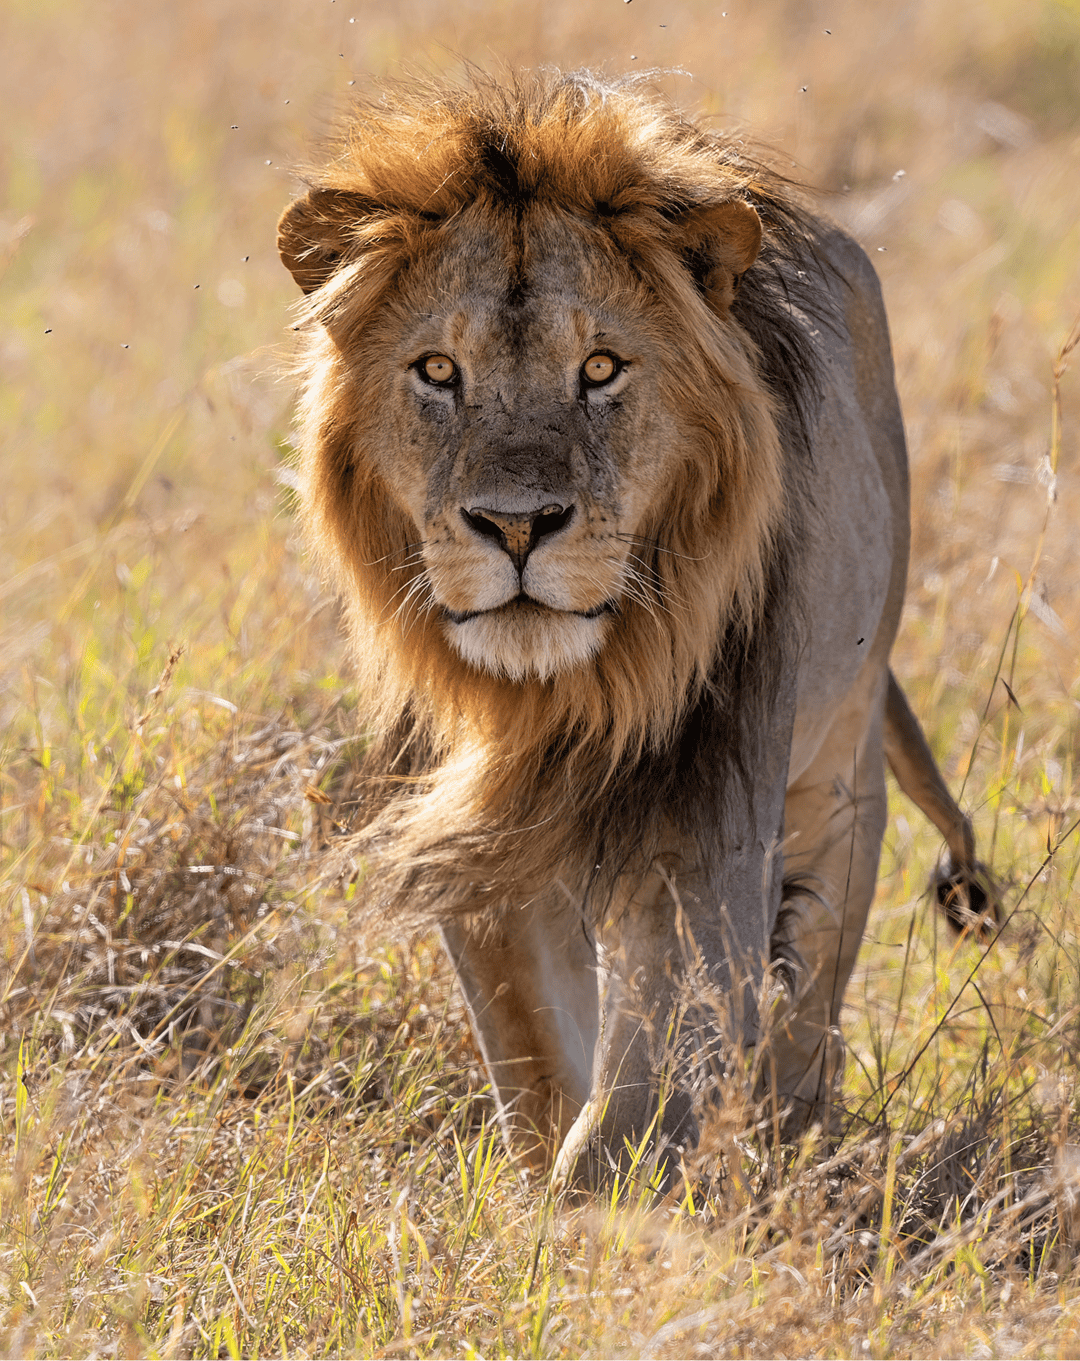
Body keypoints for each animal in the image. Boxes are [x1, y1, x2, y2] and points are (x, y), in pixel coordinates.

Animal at [277, 69, 995, 1181]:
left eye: (602, 369)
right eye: (438, 372)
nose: (515, 523)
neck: (560, 697)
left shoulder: (704, 828)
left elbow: (636, 1099)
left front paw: (620, 1200)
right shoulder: (482, 846)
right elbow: (537, 1066)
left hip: (843, 759)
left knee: (814, 991)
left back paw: (787, 1133)